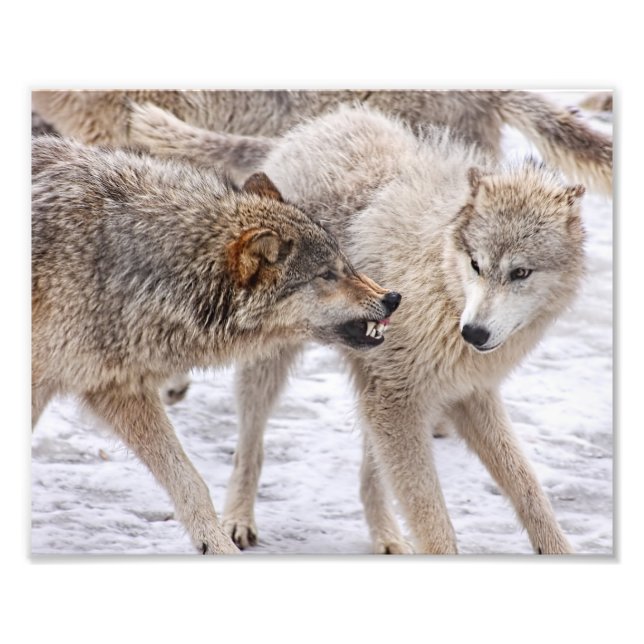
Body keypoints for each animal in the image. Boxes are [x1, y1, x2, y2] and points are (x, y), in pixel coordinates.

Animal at [31, 136, 401, 554]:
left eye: (346, 264)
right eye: (326, 275)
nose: (393, 298)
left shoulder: (117, 387)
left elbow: (190, 481)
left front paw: (216, 545)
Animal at [128, 105, 593, 554]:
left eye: (520, 272)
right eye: (476, 264)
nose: (474, 335)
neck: (443, 288)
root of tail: (313, 128)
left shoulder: (466, 394)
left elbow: (528, 489)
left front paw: (557, 548)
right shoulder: (401, 402)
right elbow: (434, 521)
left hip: (373, 387)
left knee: (372, 480)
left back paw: (386, 537)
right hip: (278, 366)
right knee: (250, 449)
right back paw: (238, 520)